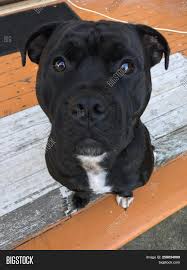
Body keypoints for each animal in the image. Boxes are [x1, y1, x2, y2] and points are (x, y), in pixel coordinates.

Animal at [21, 21, 169, 210]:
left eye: (126, 67)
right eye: (59, 64)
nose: (88, 105)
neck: (94, 162)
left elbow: (126, 187)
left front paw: (125, 195)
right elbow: (80, 188)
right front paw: (80, 198)